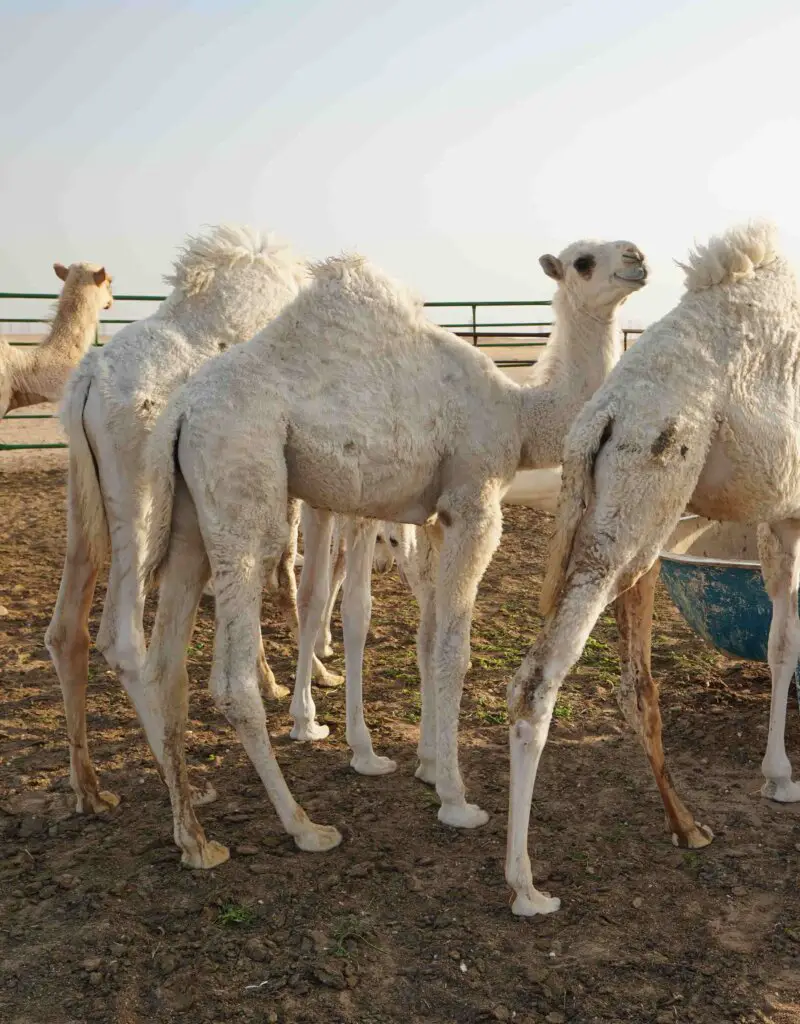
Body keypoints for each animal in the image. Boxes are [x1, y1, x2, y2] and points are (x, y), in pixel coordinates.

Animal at [43, 224, 338, 815]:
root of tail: (87, 380)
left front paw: (272, 679)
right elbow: (295, 578)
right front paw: (312, 676)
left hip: (83, 501)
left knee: (67, 629)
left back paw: (91, 789)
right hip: (139, 497)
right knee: (125, 640)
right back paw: (187, 792)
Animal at [137, 237, 647, 864]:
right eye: (583, 261)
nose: (637, 258)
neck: (519, 413)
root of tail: (179, 413)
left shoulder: (433, 517)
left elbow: (428, 642)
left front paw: (428, 765)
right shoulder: (475, 502)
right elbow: (454, 652)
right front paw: (457, 800)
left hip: (187, 521)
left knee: (164, 670)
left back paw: (195, 838)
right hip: (242, 498)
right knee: (231, 680)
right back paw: (305, 827)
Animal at [506, 220, 798, 917]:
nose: (634, 256)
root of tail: (601, 417)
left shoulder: (781, 513)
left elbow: (781, 643)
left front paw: (778, 776)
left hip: (623, 520)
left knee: (622, 682)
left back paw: (687, 827)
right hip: (639, 509)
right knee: (539, 681)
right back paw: (527, 886)